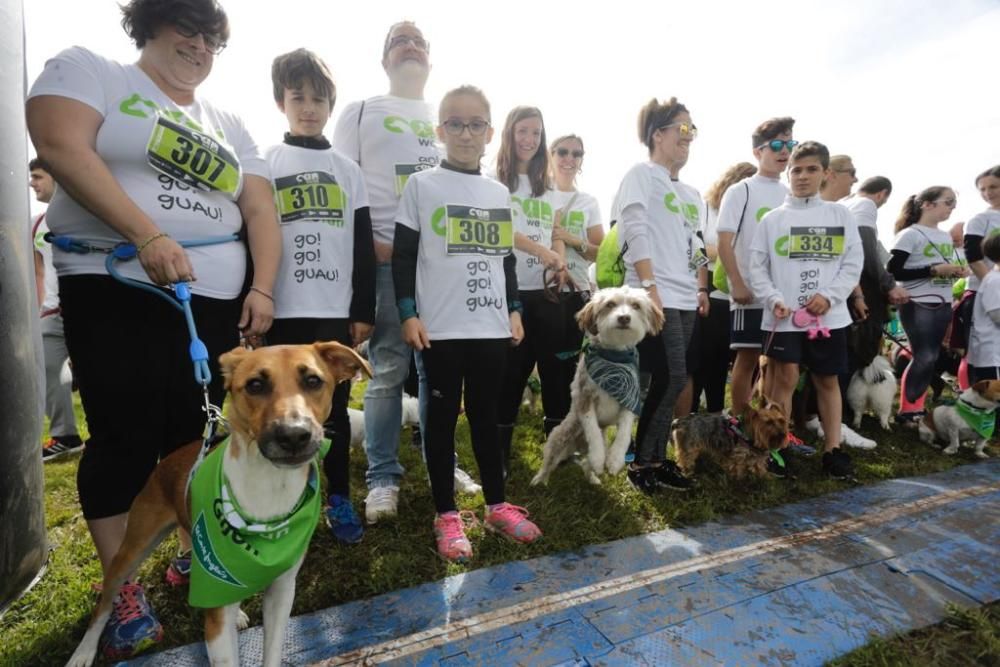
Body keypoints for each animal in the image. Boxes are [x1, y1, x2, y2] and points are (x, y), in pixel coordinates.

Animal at [66, 344, 372, 667]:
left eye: (313, 380)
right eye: (255, 385)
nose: (293, 435)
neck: (270, 485)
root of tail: (167, 461)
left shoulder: (281, 591)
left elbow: (272, 650)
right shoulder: (218, 616)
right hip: (131, 549)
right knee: (104, 602)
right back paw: (83, 652)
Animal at [532, 288, 664, 486]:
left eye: (636, 305)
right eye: (610, 304)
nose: (624, 318)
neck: (614, 359)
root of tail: (577, 445)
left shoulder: (630, 401)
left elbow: (624, 434)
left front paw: (615, 459)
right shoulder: (584, 398)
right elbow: (592, 430)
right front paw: (598, 457)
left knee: (586, 465)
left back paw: (593, 478)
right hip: (560, 436)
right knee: (550, 461)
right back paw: (540, 480)